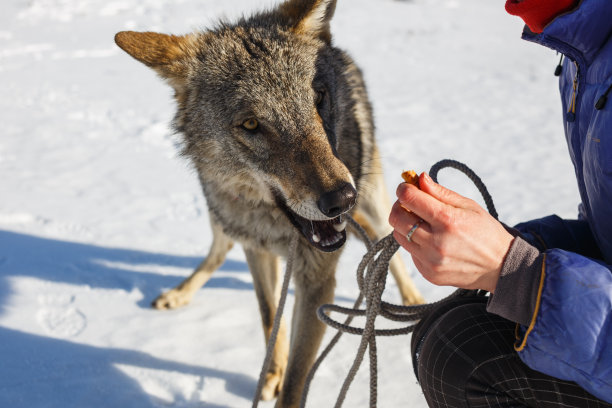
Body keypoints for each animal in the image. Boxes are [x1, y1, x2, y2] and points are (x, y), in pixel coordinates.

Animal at [113, 0, 420, 404]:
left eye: (317, 98)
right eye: (250, 124)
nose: (341, 199)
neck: (278, 228)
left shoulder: (317, 281)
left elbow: (297, 380)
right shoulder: (256, 249)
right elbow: (269, 315)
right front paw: (270, 376)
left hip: (373, 197)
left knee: (391, 243)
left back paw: (413, 301)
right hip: (221, 214)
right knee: (219, 249)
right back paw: (180, 292)